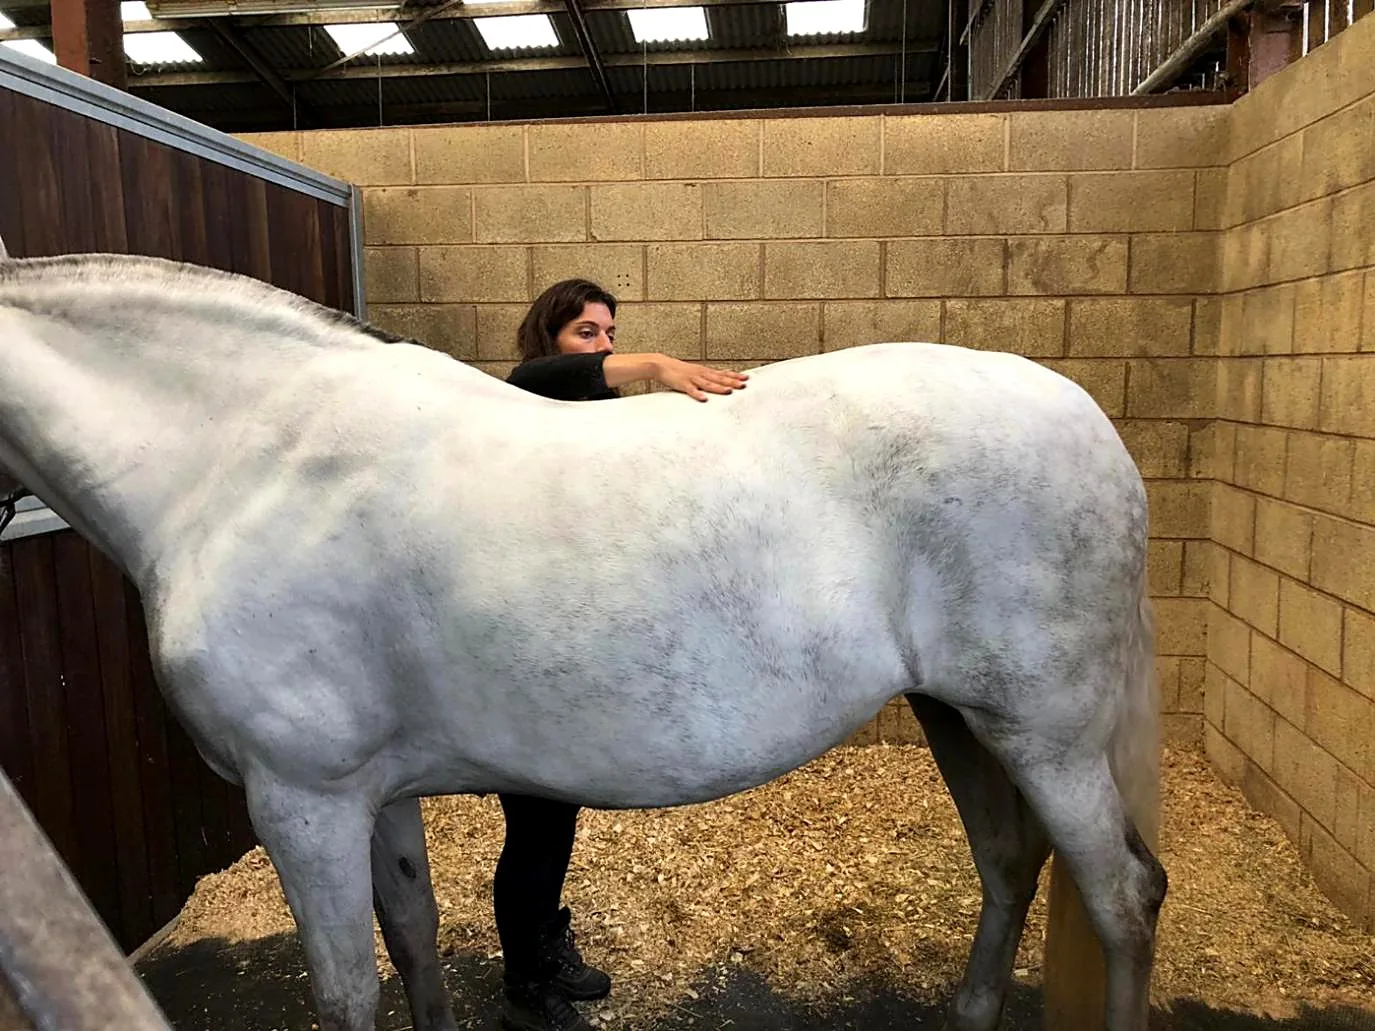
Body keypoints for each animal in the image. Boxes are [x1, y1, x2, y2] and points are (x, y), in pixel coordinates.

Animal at [0, 249, 1166, 1031]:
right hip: (958, 716)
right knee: (1011, 864)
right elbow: (415, 942)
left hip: (1047, 734)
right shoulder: (372, 793)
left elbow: (346, 991)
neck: (242, 461)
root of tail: (1088, 420)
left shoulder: (302, 801)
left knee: (1122, 899)